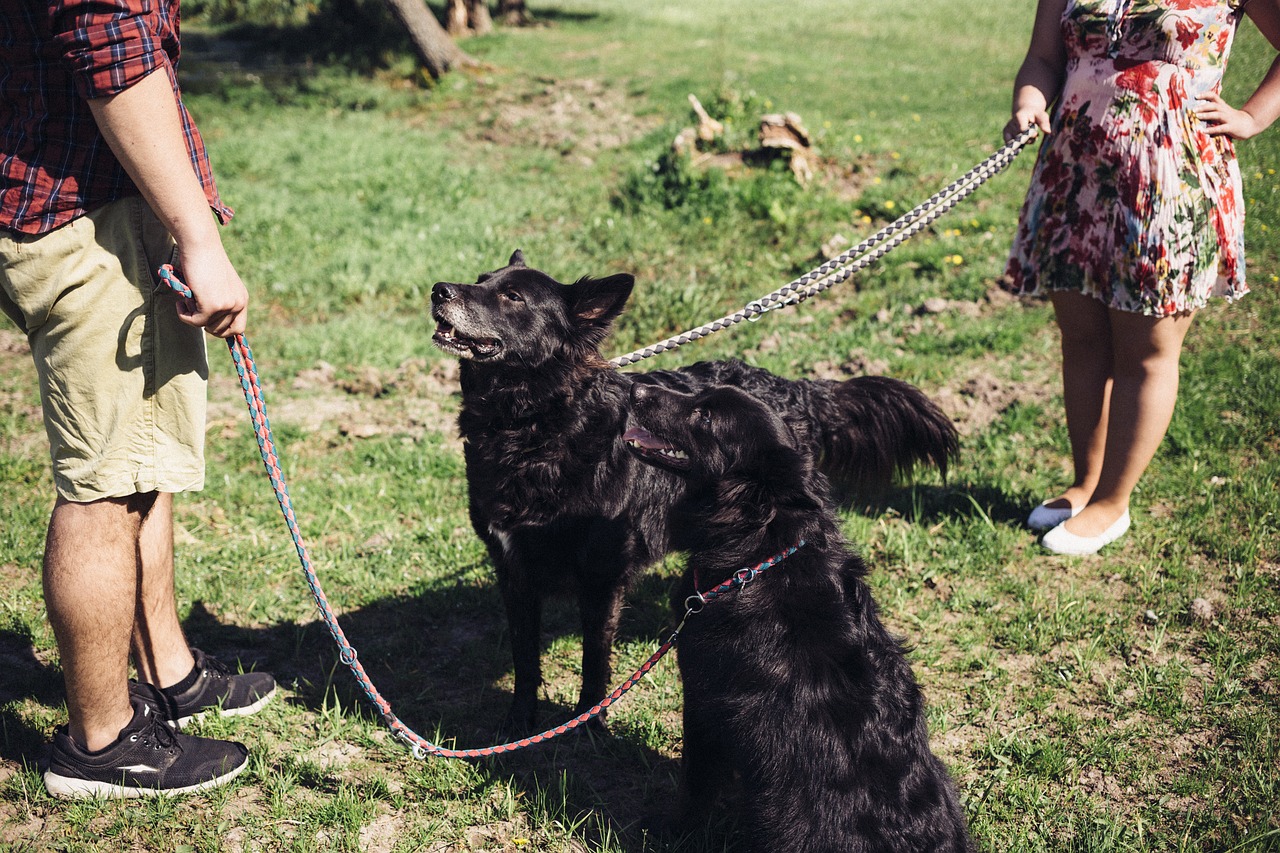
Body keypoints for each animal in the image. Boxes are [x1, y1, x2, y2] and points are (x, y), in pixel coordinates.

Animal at [432, 251, 962, 732]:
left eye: (512, 297)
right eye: (481, 278)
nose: (439, 289)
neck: (530, 424)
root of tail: (797, 389)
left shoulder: (601, 577)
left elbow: (594, 661)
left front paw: (587, 727)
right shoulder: (512, 569)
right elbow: (525, 660)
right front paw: (518, 724)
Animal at [622, 381, 967, 850]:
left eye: (706, 417)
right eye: (700, 396)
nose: (635, 388)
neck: (759, 552)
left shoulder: (700, 695)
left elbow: (695, 782)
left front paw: (671, 829)